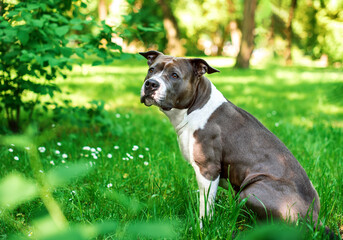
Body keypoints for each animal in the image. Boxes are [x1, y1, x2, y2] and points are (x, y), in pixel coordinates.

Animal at [138, 50, 322, 227]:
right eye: (151, 70)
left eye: (175, 75)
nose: (151, 84)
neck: (196, 106)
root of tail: (313, 218)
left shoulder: (208, 169)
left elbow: (205, 207)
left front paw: (201, 228)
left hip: (251, 191)